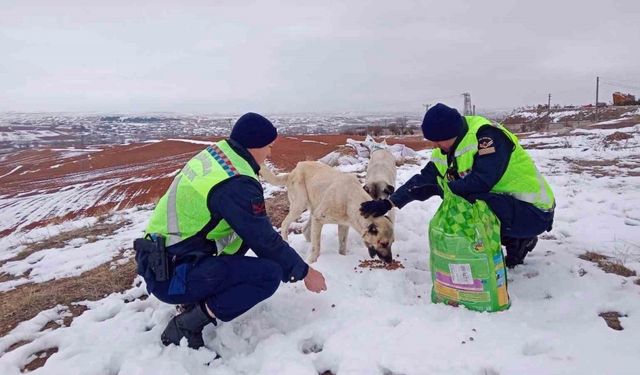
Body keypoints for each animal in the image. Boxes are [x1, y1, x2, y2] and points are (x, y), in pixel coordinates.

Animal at [258, 162, 392, 264]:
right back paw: (287, 242)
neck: (350, 200)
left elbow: (342, 245)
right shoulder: (319, 219)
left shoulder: (343, 225)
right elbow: (316, 247)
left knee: (305, 229)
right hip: (299, 206)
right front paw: (312, 262)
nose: (390, 261)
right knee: (285, 224)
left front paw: (342, 258)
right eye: (383, 243)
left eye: (392, 242)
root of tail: (293, 171)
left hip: (313, 208)